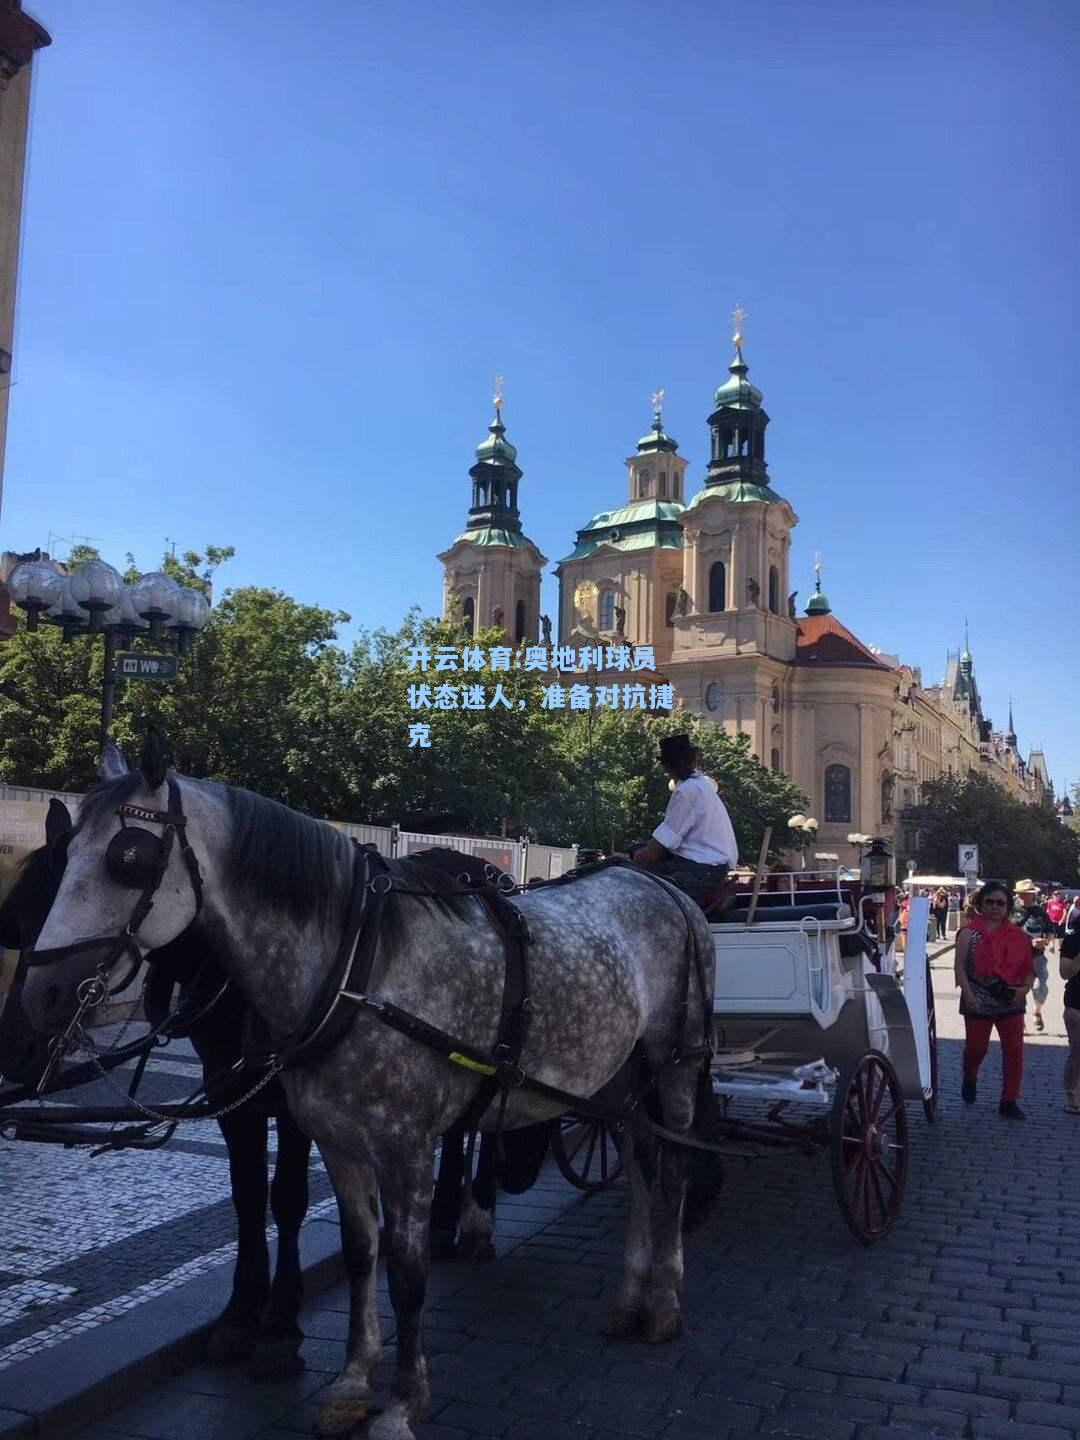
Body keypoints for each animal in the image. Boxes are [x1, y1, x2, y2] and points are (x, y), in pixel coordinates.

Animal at [19, 743, 720, 1440]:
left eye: (128, 858)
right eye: (67, 853)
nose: (41, 997)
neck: (356, 968)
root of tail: (663, 890)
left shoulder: (405, 1149)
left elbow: (407, 1275)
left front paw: (403, 1402)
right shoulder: (338, 1141)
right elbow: (362, 1254)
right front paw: (354, 1383)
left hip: (675, 1062)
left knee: (675, 1167)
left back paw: (663, 1299)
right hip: (617, 1075)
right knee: (641, 1162)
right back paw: (629, 1295)